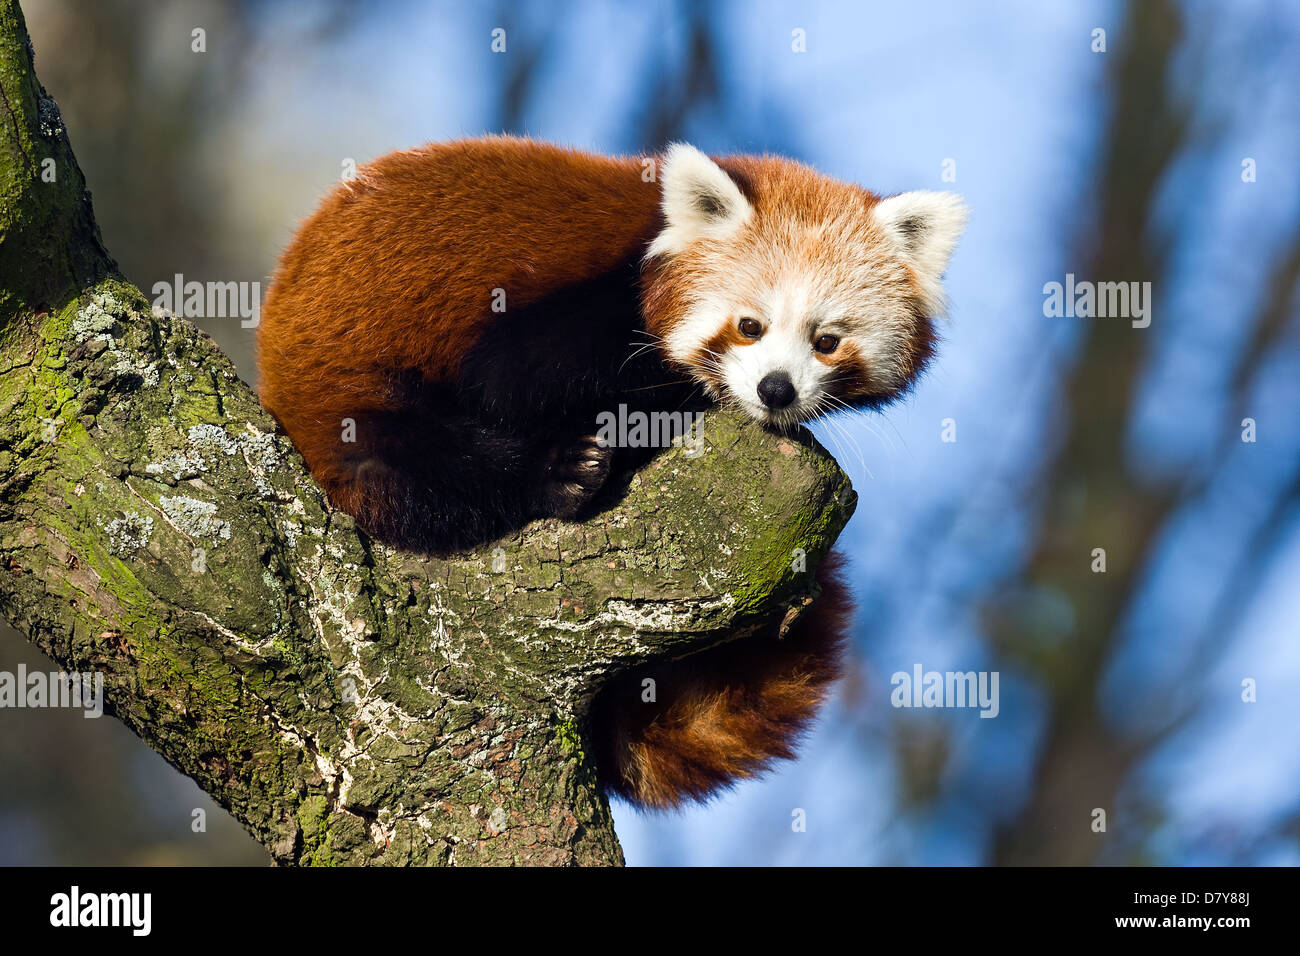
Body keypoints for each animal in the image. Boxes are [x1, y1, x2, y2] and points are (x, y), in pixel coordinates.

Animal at [256, 134, 967, 806]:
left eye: (827, 341)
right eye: (749, 325)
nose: (776, 390)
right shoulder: (564, 309)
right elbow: (512, 382)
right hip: (354, 401)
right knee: (423, 469)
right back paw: (561, 474)